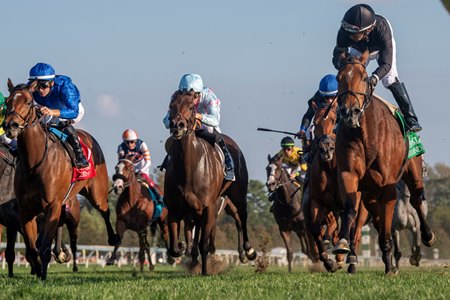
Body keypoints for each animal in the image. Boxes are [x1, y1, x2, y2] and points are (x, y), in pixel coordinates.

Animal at [2, 79, 118, 278]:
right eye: (8, 102)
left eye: (28, 102)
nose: (11, 125)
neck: (34, 162)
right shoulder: (25, 210)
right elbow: (32, 248)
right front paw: (38, 270)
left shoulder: (52, 206)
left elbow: (43, 247)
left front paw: (43, 275)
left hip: (97, 193)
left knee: (104, 211)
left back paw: (113, 241)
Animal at [164, 89, 256, 274]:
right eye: (171, 106)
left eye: (190, 106)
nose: (177, 125)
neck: (189, 170)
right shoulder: (175, 208)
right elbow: (174, 248)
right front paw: (183, 248)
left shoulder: (209, 206)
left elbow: (204, 245)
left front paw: (205, 272)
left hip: (237, 194)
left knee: (242, 215)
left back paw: (248, 251)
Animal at [334, 51, 436, 274]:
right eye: (338, 78)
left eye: (364, 78)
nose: (349, 113)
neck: (365, 134)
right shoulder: (349, 174)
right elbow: (350, 209)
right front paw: (343, 243)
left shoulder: (387, 185)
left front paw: (390, 264)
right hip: (370, 192)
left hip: (412, 172)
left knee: (417, 199)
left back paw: (428, 236)